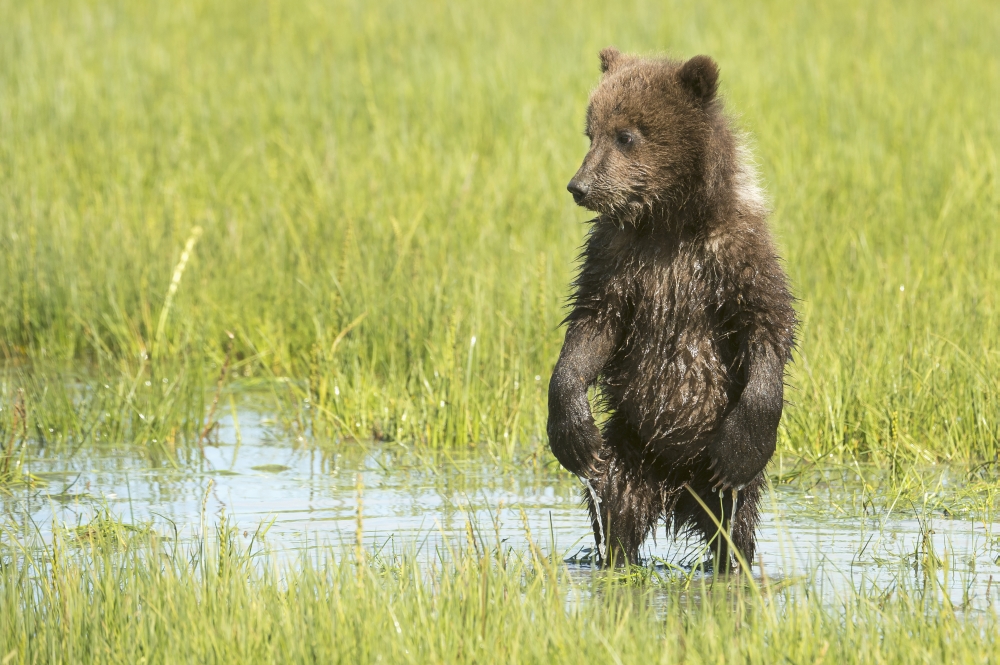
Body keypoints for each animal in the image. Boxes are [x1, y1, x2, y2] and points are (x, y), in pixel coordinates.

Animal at [547, 48, 797, 569]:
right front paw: (573, 436)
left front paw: (743, 446)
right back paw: (616, 553)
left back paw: (731, 559)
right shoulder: (616, 259)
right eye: (591, 131)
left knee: (734, 523)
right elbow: (591, 327)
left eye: (626, 135)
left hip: (711, 480)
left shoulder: (736, 255)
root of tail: (676, 489)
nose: (580, 186)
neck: (669, 221)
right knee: (615, 502)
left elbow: (767, 326)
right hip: (629, 446)